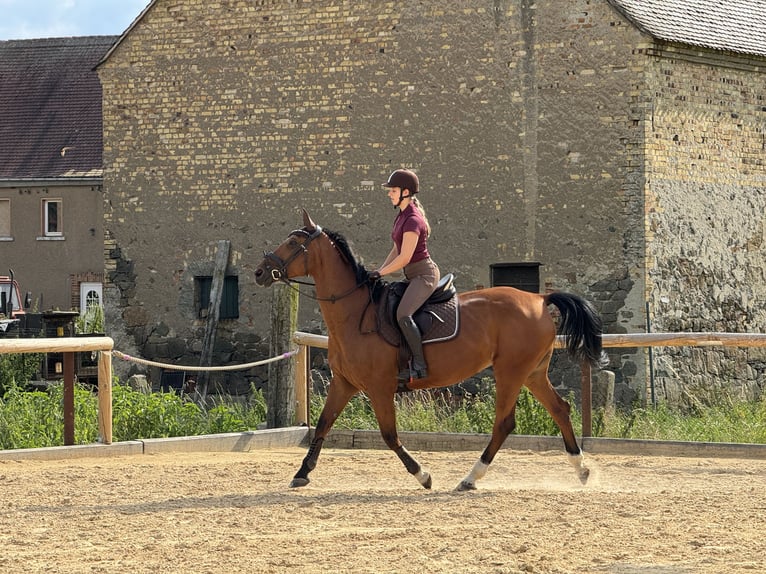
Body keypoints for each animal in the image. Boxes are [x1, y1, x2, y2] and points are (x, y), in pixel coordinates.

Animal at [255, 214, 608, 492]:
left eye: (292, 243)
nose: (259, 272)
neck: (354, 313)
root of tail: (539, 299)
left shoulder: (379, 387)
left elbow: (389, 435)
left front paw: (423, 475)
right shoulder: (344, 383)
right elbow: (323, 425)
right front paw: (301, 473)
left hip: (510, 371)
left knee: (504, 423)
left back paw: (470, 478)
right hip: (532, 372)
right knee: (560, 409)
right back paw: (582, 470)